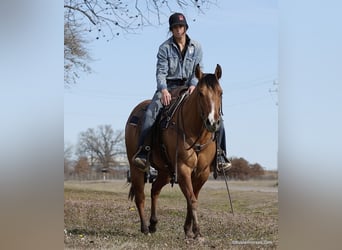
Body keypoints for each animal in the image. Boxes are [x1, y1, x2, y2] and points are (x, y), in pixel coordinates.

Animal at [124, 63, 223, 237]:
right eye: (201, 93)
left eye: (221, 93)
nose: (212, 122)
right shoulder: (183, 169)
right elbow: (192, 199)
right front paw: (197, 231)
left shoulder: (202, 172)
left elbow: (192, 199)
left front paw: (188, 229)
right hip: (135, 167)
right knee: (140, 196)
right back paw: (144, 228)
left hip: (165, 171)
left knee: (155, 190)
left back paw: (153, 224)